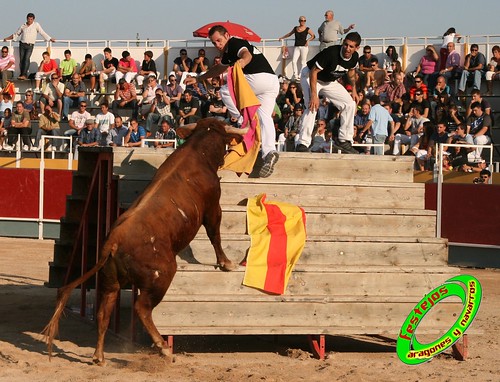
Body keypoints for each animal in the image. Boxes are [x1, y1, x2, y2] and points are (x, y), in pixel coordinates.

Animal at [43, 118, 244, 366]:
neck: (197, 151)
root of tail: (113, 243)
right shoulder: (213, 206)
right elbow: (215, 234)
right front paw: (226, 263)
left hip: (111, 282)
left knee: (103, 312)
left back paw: (99, 356)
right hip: (162, 276)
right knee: (142, 307)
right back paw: (163, 348)